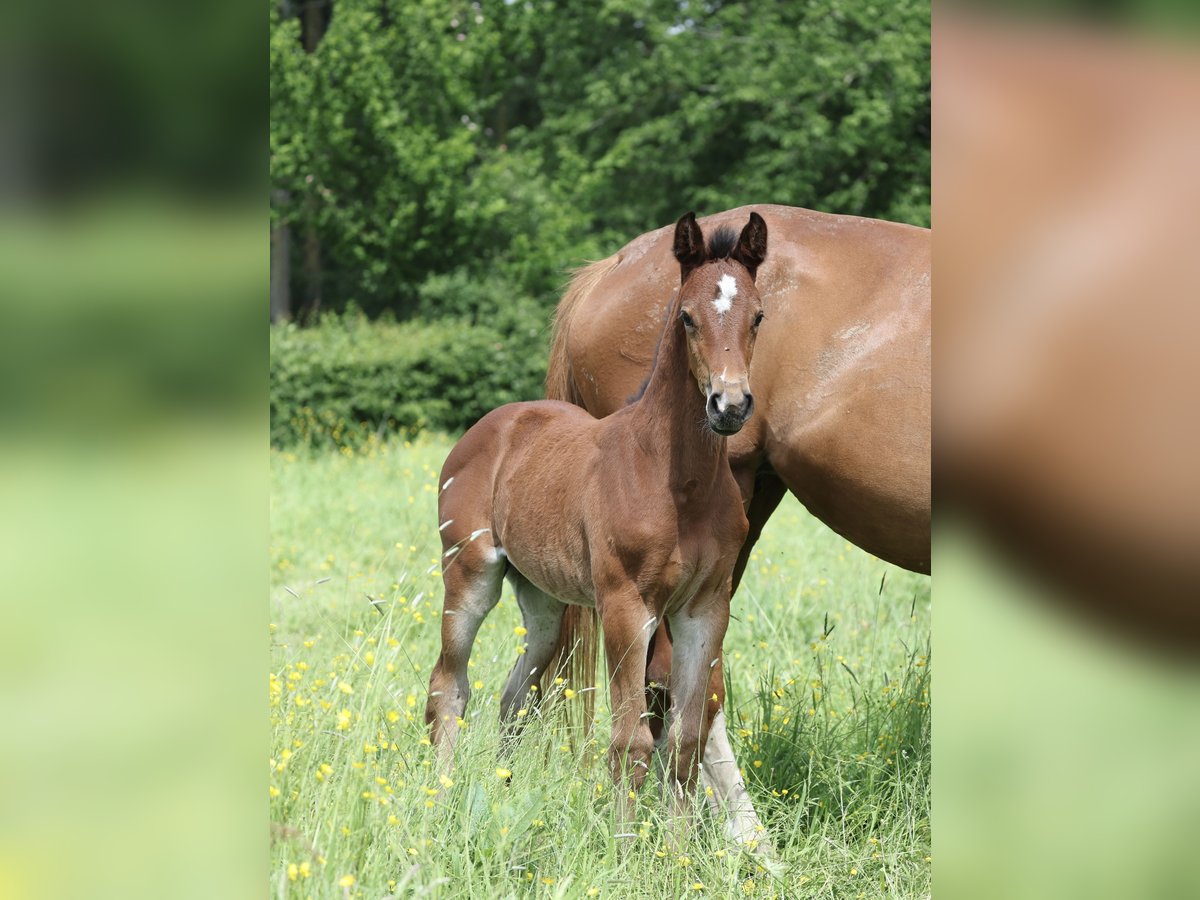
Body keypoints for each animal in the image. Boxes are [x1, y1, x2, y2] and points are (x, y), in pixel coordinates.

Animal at [424, 211, 768, 825]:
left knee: (515, 696)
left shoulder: (704, 609)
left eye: (757, 315)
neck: (677, 483)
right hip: (470, 574)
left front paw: (677, 849)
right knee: (449, 686)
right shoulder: (627, 606)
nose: (729, 406)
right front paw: (624, 844)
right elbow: (630, 741)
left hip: (542, 599)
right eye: (687, 316)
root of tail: (489, 426)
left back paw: (499, 795)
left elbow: (685, 741)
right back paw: (439, 804)